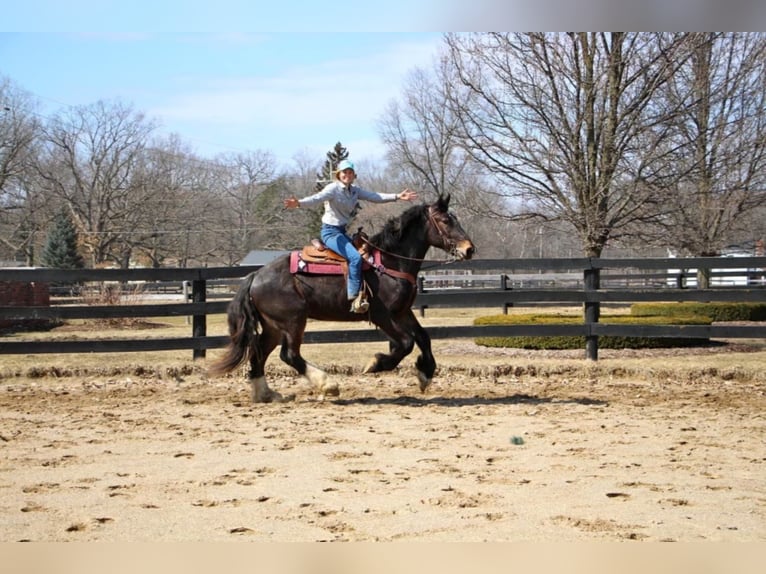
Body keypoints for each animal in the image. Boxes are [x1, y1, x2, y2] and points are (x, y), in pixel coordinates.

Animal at [208, 196, 474, 402]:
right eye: (445, 220)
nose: (469, 249)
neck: (389, 262)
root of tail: (255, 276)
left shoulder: (402, 312)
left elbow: (423, 337)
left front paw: (425, 374)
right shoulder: (383, 316)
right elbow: (406, 343)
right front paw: (376, 363)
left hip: (274, 326)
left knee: (259, 354)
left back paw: (266, 395)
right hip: (293, 321)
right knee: (289, 355)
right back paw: (327, 385)